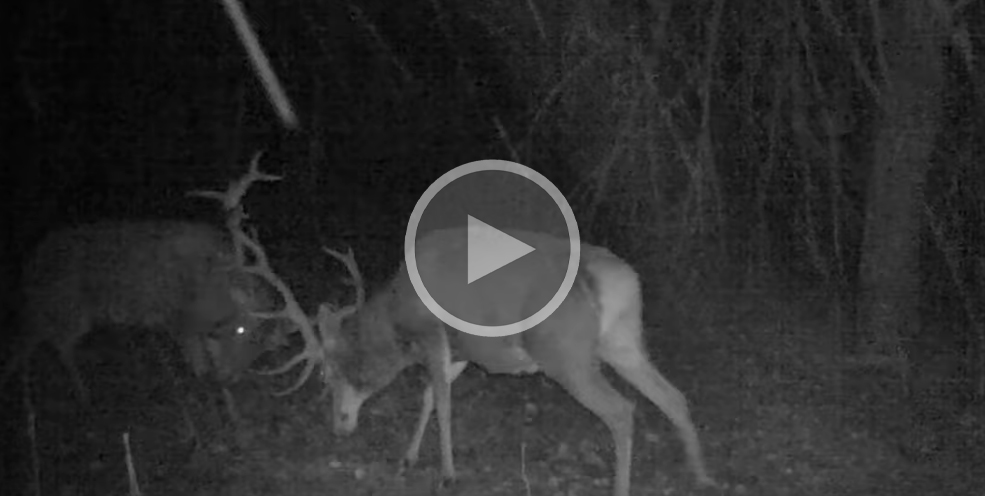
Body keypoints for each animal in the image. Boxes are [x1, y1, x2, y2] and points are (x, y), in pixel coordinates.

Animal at [322, 228, 716, 496]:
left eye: (334, 372)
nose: (339, 426)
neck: (394, 318)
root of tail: (617, 280)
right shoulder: (462, 350)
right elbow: (430, 397)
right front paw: (408, 458)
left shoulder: (432, 333)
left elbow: (442, 403)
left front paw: (447, 474)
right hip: (622, 341)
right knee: (672, 396)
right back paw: (701, 475)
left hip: (565, 354)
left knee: (621, 410)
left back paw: (623, 488)